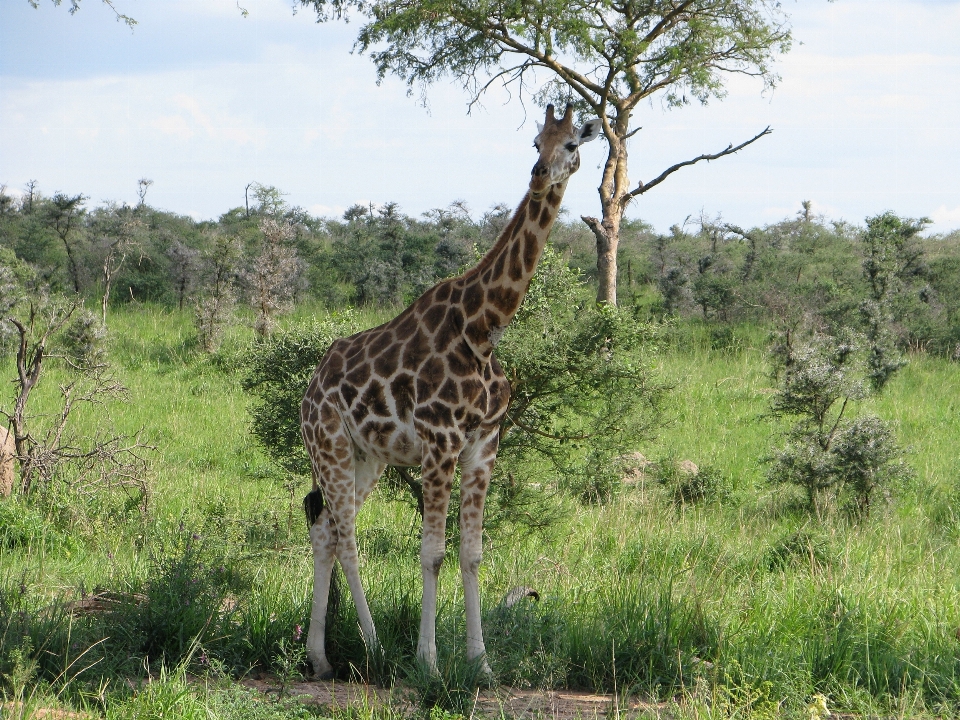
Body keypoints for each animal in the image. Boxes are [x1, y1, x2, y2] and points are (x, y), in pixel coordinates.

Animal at [300, 104, 600, 676]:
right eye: (535, 140)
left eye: (572, 143)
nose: (539, 174)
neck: (484, 328)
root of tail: (308, 391)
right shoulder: (440, 442)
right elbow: (432, 553)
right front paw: (430, 664)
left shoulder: (484, 444)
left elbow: (472, 553)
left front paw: (480, 664)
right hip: (328, 445)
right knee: (346, 536)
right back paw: (374, 646)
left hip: (366, 457)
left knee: (325, 527)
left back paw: (321, 657)